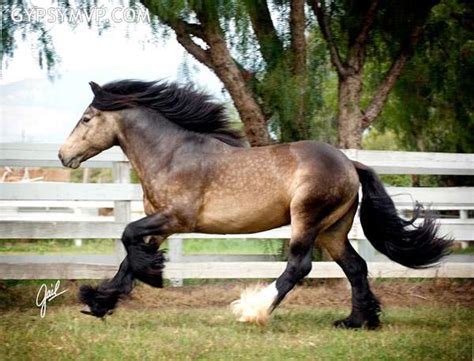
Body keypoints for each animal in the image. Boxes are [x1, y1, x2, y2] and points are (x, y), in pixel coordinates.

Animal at [59, 80, 452, 328]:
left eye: (86, 118)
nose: (64, 156)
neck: (172, 154)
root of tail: (350, 163)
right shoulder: (160, 223)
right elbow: (129, 257)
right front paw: (100, 301)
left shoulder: (176, 218)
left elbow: (127, 236)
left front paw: (148, 278)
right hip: (333, 231)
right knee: (356, 267)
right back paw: (357, 322)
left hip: (307, 220)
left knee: (299, 266)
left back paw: (253, 310)